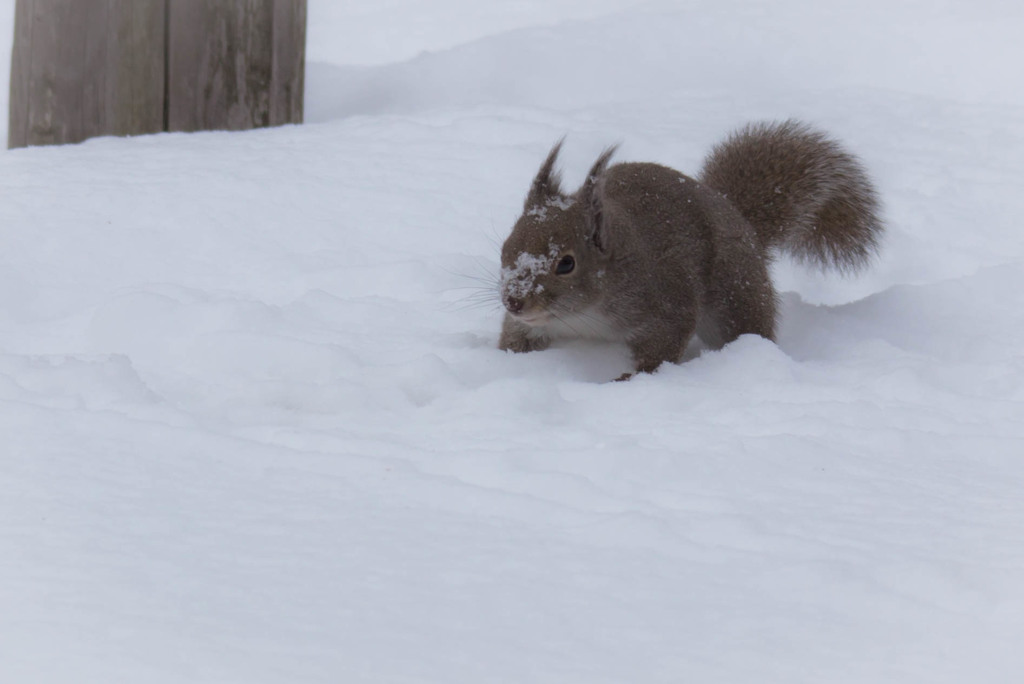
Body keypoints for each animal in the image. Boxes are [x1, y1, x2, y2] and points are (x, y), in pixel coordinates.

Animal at [495, 120, 880, 376]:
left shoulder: (664, 301)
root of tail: (745, 226)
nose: (514, 301)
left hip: (736, 298)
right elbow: (515, 338)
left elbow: (664, 344)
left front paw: (632, 378)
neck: (582, 315)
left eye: (566, 264)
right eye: (505, 247)